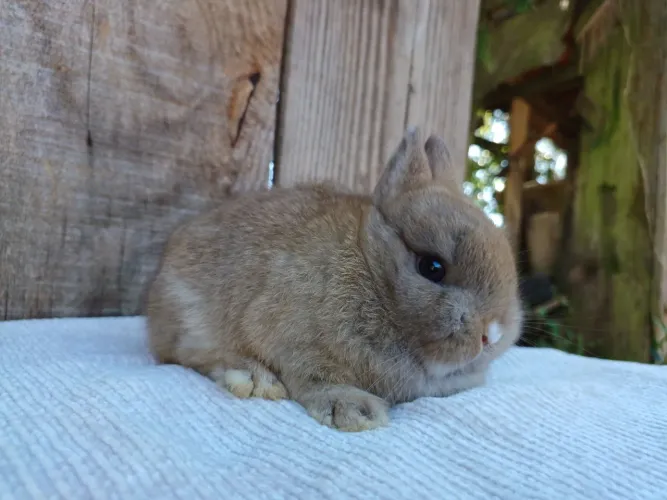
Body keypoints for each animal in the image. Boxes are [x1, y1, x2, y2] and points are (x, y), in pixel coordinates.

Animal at [146, 126, 523, 432]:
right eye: (432, 267)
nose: (491, 334)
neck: (372, 272)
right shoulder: (294, 339)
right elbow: (316, 378)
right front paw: (355, 411)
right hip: (191, 316)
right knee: (197, 355)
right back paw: (254, 379)